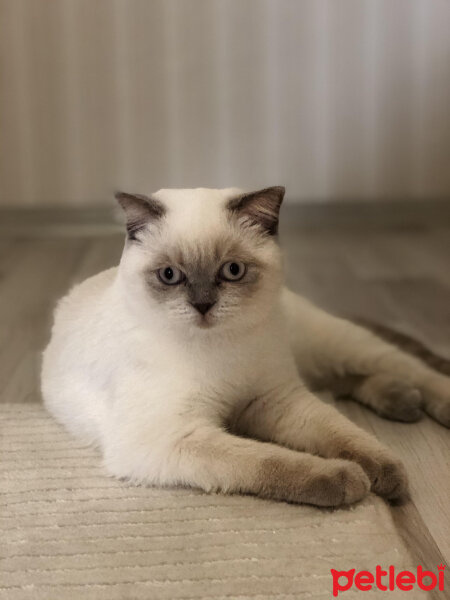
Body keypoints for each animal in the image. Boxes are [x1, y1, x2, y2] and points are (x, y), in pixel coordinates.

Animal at [40, 186, 448, 506]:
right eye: (169, 275)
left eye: (232, 271)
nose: (203, 305)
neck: (219, 348)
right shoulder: (172, 437)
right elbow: (268, 461)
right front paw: (348, 480)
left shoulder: (274, 399)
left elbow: (345, 434)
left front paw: (386, 473)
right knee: (350, 381)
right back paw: (403, 402)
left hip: (334, 346)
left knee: (408, 369)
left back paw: (426, 404)